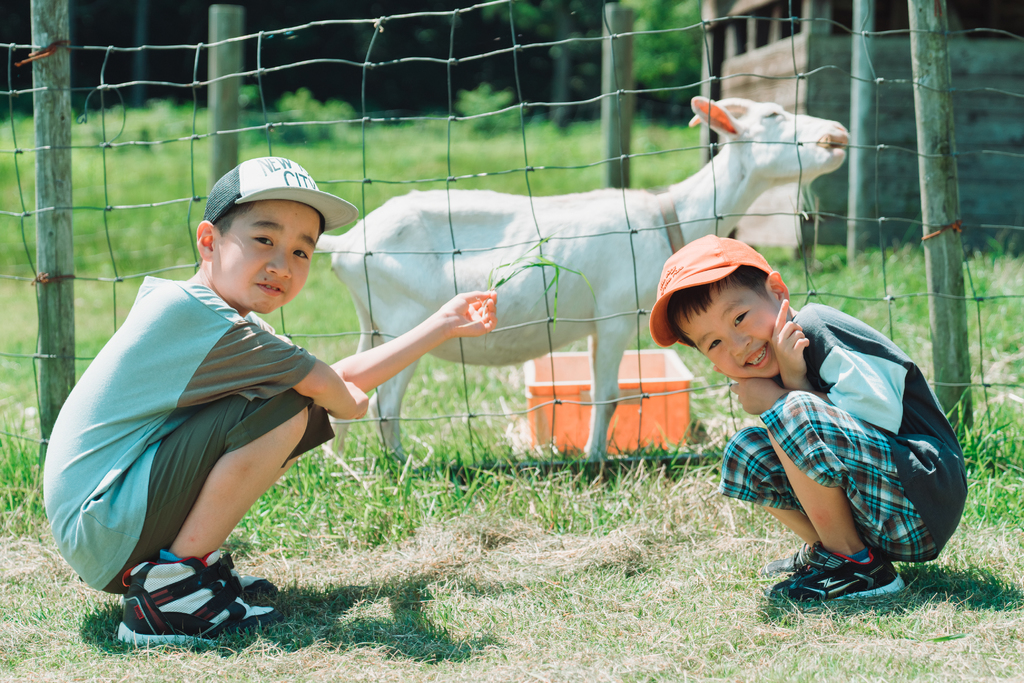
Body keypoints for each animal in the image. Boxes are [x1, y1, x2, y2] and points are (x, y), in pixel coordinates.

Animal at [319, 97, 847, 458]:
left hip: (374, 321)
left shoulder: (598, 324)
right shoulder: (615, 314)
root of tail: (344, 245)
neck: (669, 218)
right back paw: (400, 464)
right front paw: (596, 459)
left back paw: (344, 466)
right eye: (774, 115)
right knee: (385, 402)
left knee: (351, 383)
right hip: (404, 320)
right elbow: (607, 396)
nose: (838, 134)